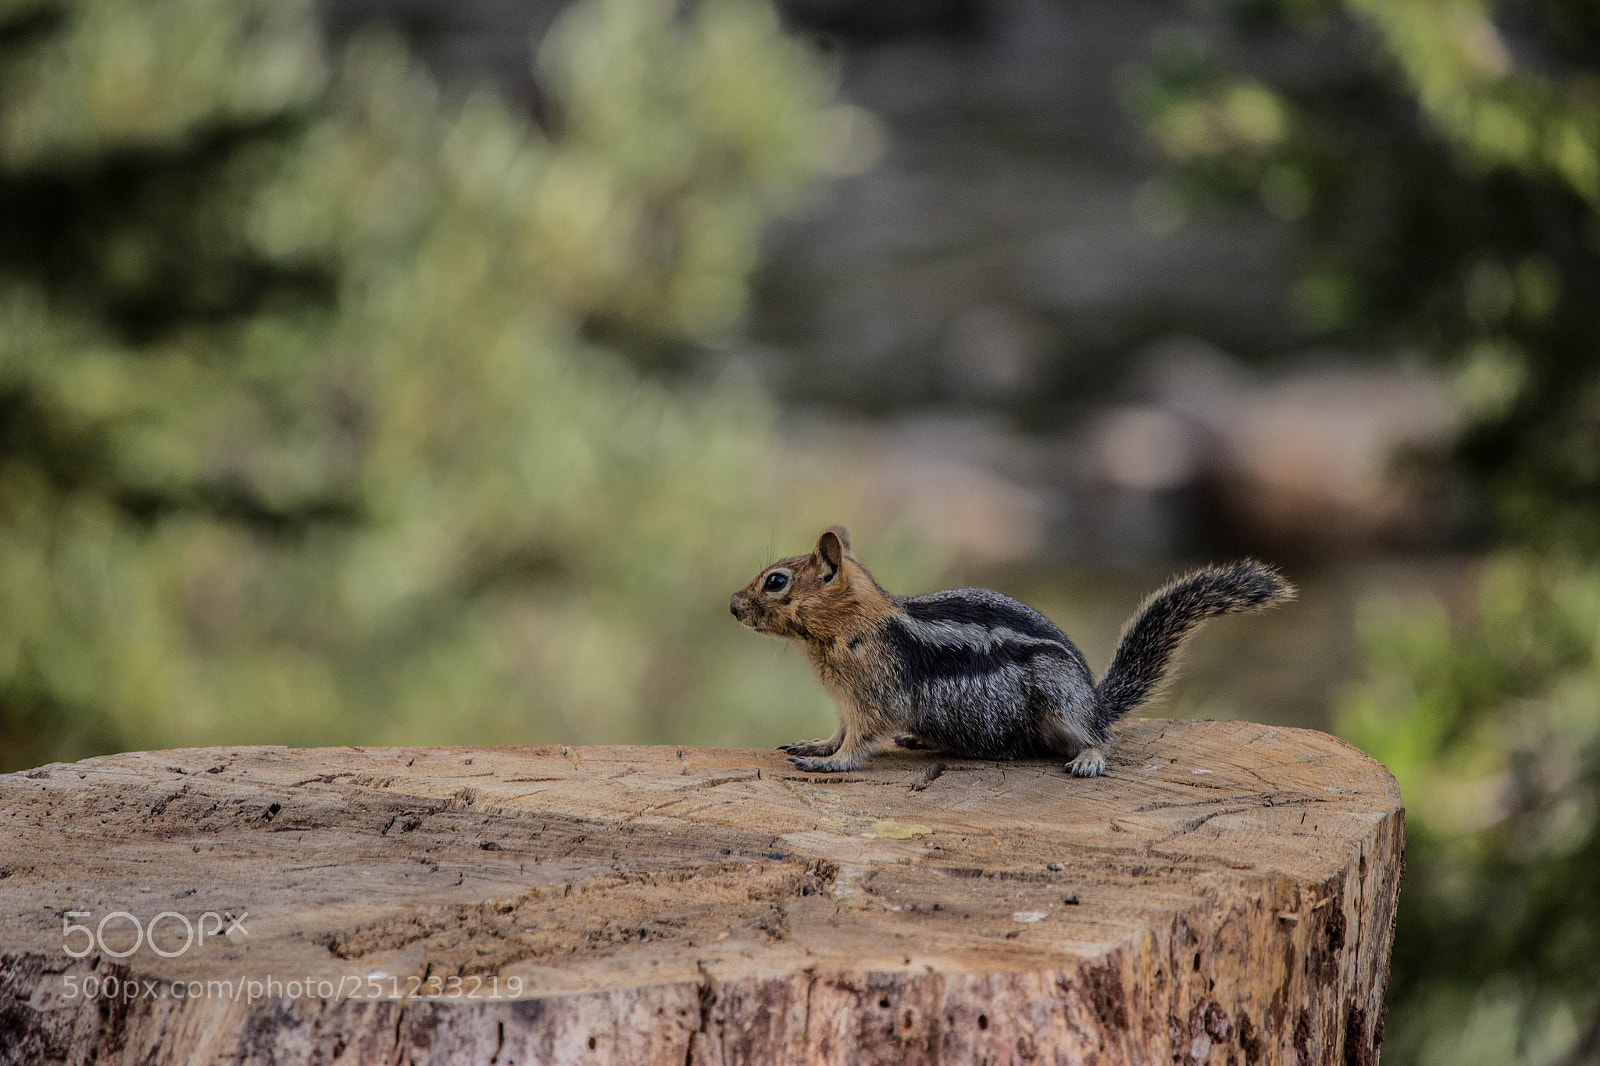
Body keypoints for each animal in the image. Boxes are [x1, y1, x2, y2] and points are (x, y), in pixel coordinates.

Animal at [729, 526, 1293, 777]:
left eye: (776, 581)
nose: (733, 606)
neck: (853, 626)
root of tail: (1097, 700)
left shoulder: (876, 697)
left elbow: (860, 741)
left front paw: (830, 764)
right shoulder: (847, 701)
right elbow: (838, 730)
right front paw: (814, 746)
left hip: (1060, 697)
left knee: (1097, 737)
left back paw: (1088, 758)